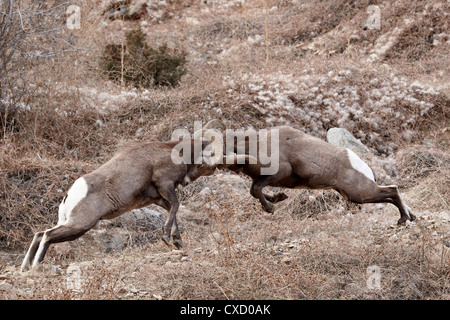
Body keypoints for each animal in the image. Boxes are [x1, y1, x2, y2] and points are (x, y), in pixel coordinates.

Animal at [20, 121, 253, 272]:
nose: (188, 182)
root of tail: (72, 193)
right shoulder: (165, 185)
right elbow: (176, 205)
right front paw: (167, 238)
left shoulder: (156, 198)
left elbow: (172, 209)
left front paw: (177, 242)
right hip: (80, 225)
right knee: (47, 235)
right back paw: (36, 267)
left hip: (70, 223)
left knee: (40, 234)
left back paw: (25, 267)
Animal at [209, 120, 416, 225]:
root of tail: (360, 164)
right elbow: (254, 191)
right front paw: (279, 199)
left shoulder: (277, 174)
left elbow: (256, 190)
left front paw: (271, 208)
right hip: (353, 195)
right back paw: (410, 217)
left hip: (359, 194)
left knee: (392, 191)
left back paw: (403, 219)